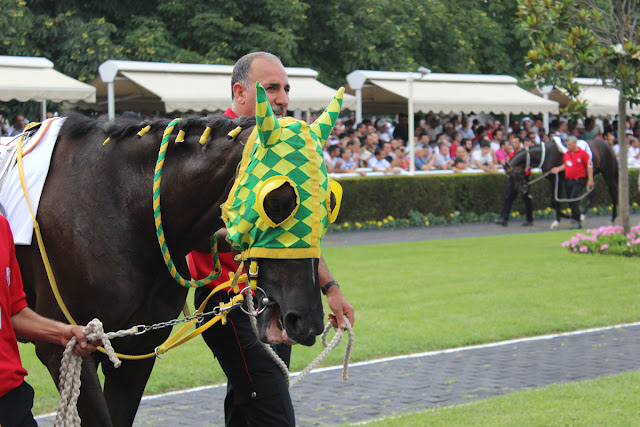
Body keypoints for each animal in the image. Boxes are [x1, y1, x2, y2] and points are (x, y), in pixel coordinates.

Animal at [14, 112, 328, 426]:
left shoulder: (139, 345)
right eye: (275, 202)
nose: (307, 320)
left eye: (330, 204)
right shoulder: (65, 346)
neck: (120, 204)